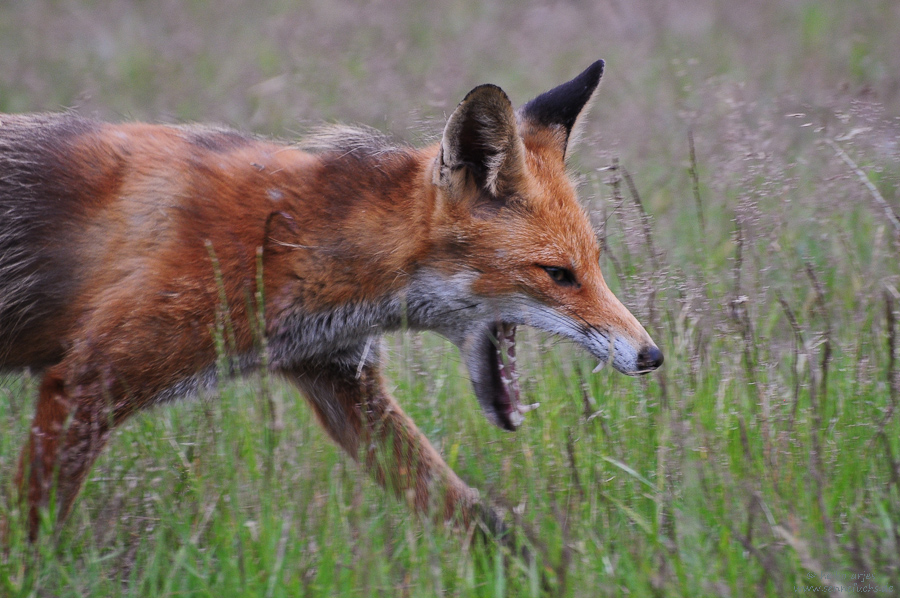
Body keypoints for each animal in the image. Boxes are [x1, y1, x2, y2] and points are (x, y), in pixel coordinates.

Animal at [0, 61, 660, 544]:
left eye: (594, 264)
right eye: (558, 275)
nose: (652, 355)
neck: (292, 243)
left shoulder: (345, 384)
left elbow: (479, 517)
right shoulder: (88, 380)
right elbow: (29, 537)